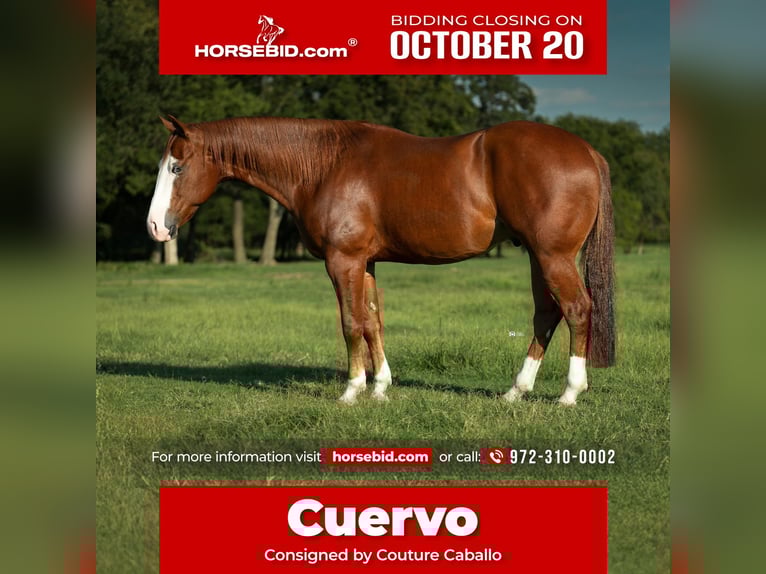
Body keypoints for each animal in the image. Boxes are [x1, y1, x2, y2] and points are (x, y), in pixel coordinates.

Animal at [147, 116, 615, 405]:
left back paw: (570, 393)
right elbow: (372, 321)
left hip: (553, 256)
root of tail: (588, 151)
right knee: (546, 315)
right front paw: (380, 387)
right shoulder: (365, 263)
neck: (324, 165)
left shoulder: (343, 261)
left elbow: (351, 322)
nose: (155, 227)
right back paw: (517, 391)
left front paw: (352, 389)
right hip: (537, 256)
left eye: (176, 167)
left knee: (576, 309)